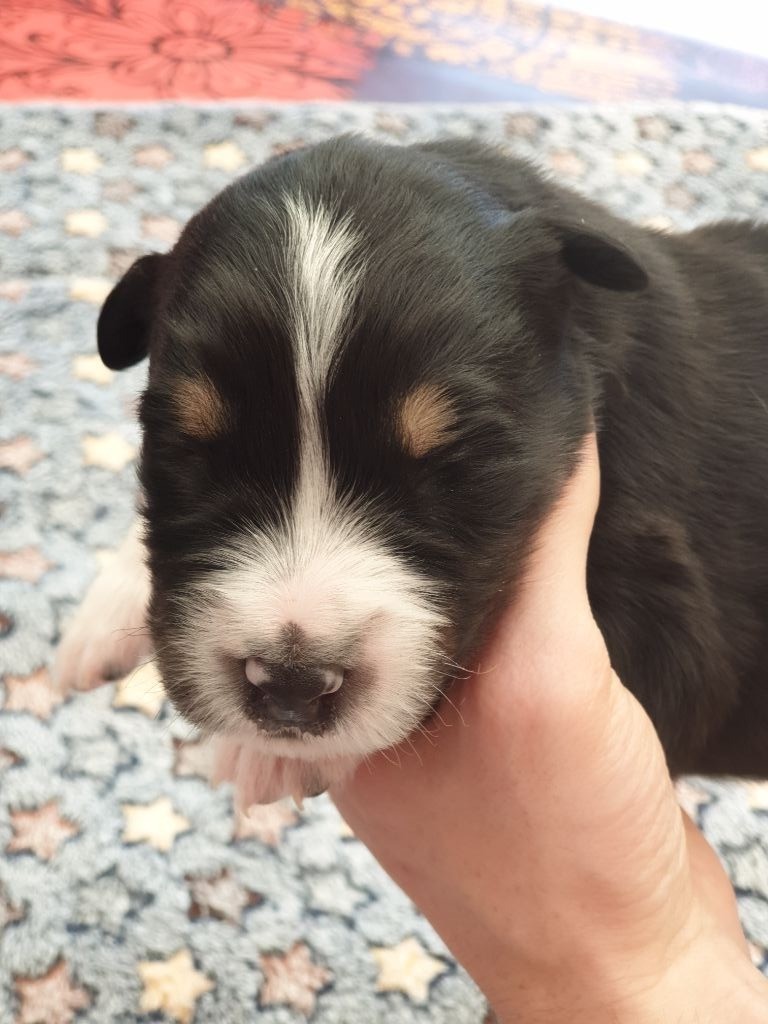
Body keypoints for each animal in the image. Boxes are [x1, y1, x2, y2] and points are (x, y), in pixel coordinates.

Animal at [56, 135, 768, 805]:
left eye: (454, 463)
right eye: (187, 447)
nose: (291, 685)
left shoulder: (668, 614)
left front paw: (267, 758)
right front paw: (103, 611)